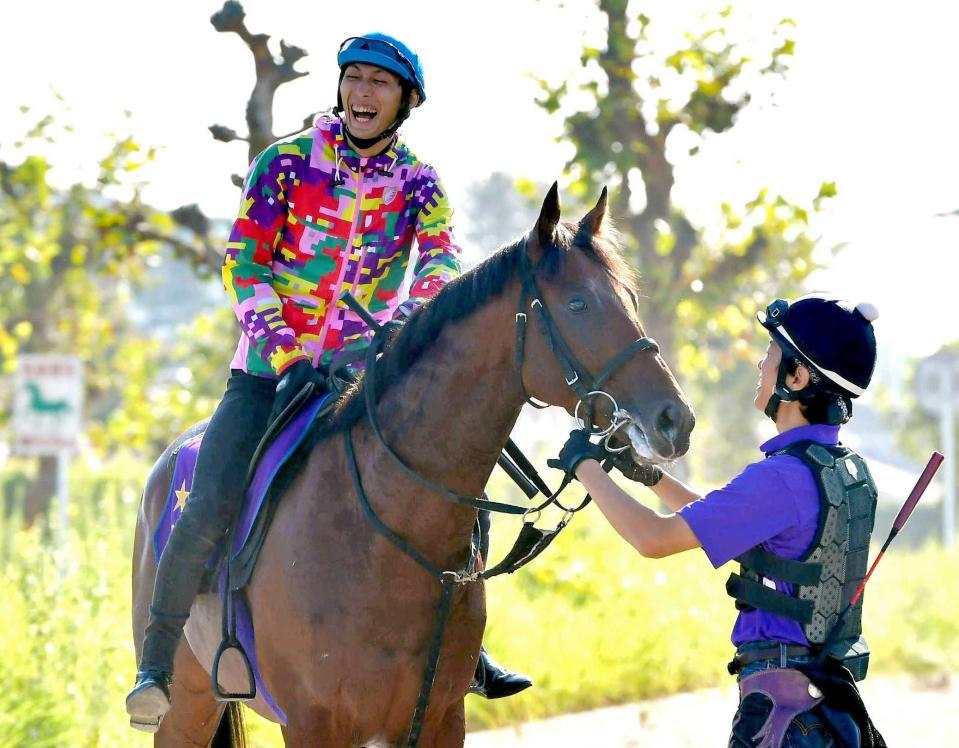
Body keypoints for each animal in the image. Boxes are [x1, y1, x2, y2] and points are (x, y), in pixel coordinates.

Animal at [131, 183, 692, 748]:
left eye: (632, 300)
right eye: (578, 303)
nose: (675, 420)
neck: (382, 532)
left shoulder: (440, 717)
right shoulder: (313, 722)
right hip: (188, 707)